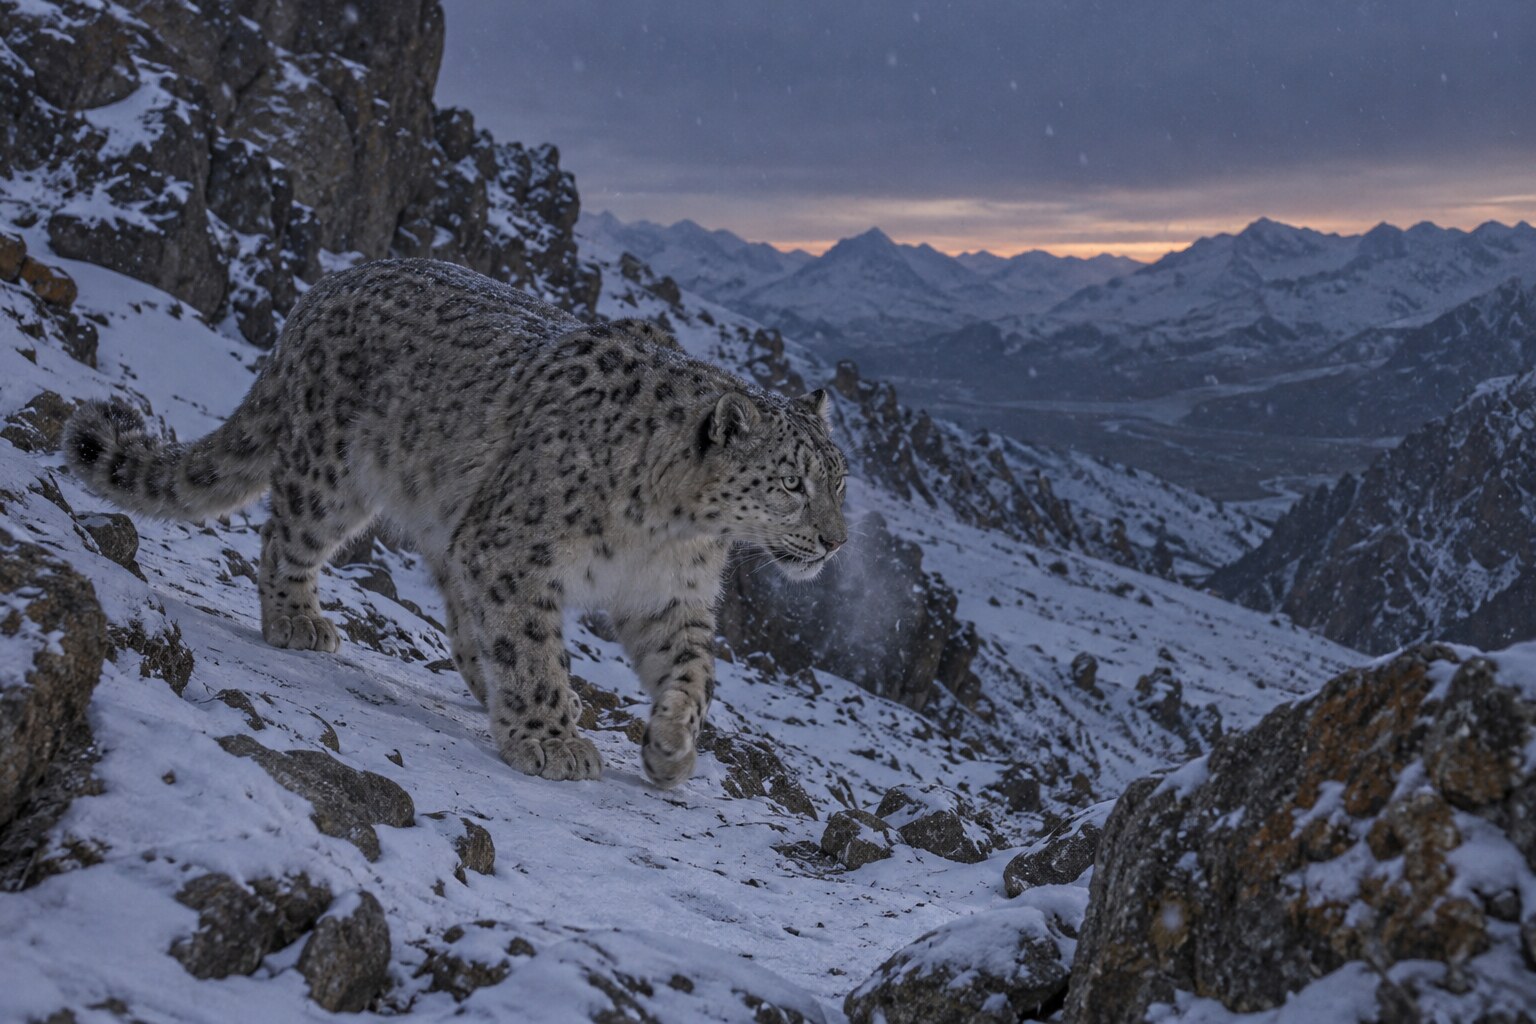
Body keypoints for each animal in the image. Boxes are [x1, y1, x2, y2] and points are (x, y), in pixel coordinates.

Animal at [64, 258, 848, 789]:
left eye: (841, 483)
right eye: (792, 483)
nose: (836, 543)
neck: (668, 532)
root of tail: (321, 291)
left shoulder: (668, 596)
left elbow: (693, 670)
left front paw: (671, 748)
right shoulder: (517, 549)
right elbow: (530, 644)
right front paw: (551, 739)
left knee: (460, 609)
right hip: (334, 476)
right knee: (287, 537)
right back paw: (298, 620)